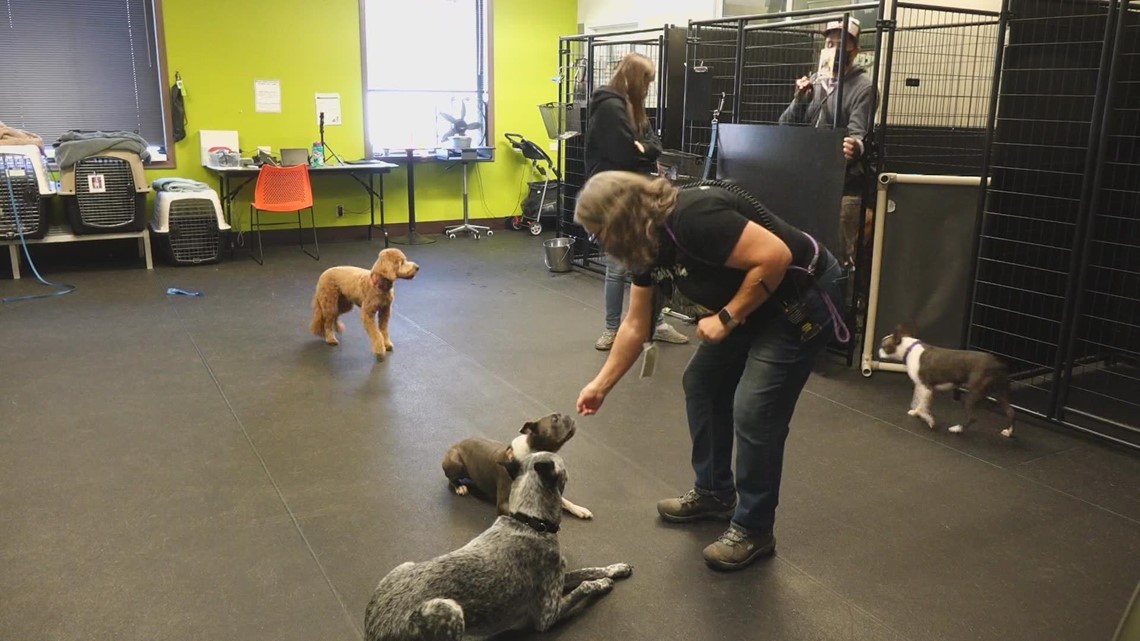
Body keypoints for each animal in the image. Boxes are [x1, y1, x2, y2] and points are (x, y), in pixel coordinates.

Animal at [364, 451, 633, 634]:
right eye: (564, 465)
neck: (530, 521)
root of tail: (371, 631)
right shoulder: (547, 615)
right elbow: (586, 586)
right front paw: (603, 584)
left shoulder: (558, 577)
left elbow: (590, 570)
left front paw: (616, 569)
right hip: (448, 610)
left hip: (404, 566)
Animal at [880, 326, 1016, 435]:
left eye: (883, 346)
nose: (878, 350)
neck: (909, 349)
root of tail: (997, 363)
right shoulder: (921, 386)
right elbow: (918, 402)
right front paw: (915, 412)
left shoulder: (926, 387)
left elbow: (923, 406)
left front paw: (929, 420)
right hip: (1000, 392)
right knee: (1010, 411)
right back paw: (1008, 432)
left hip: (973, 394)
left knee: (973, 418)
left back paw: (957, 429)